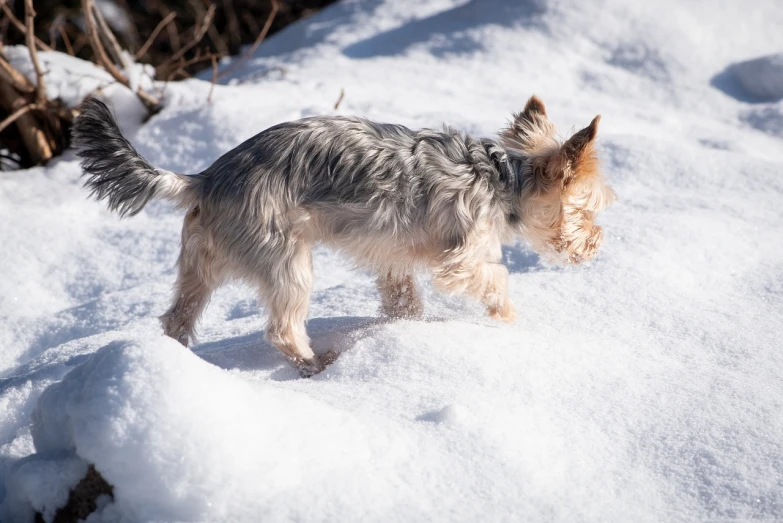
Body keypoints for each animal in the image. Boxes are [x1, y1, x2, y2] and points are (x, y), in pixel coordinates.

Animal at [72, 97, 612, 376]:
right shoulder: (461, 256)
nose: (596, 245)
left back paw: (179, 364)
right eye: (586, 211)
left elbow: (402, 298)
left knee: (177, 317)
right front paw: (508, 322)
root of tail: (203, 178)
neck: (506, 179)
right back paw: (317, 363)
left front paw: (404, 327)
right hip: (286, 259)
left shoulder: (394, 257)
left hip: (200, 263)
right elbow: (495, 279)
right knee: (282, 327)